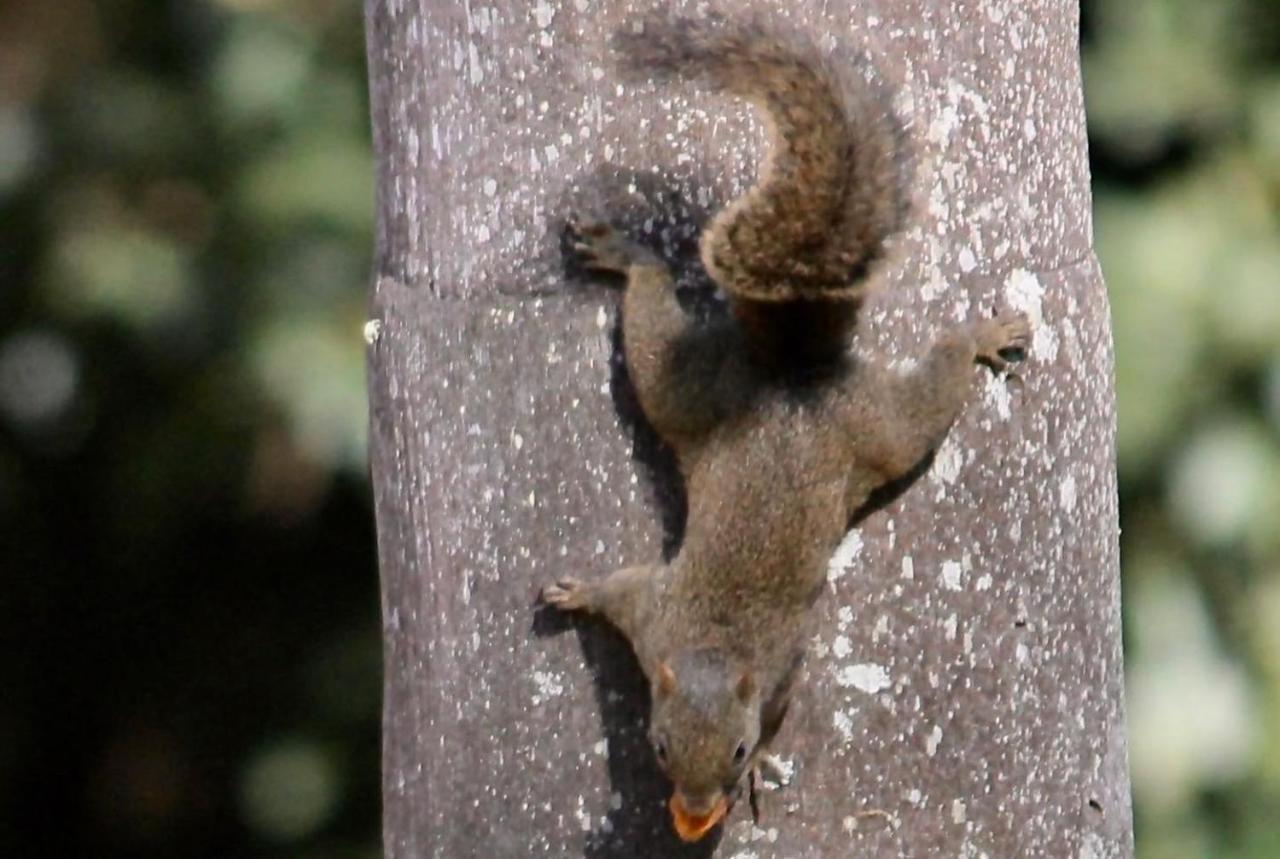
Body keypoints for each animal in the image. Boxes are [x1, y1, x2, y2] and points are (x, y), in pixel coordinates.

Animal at [540, 11, 1029, 844]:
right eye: (658, 745)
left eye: (736, 748)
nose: (694, 813)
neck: (711, 642)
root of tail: (793, 377)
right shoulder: (651, 612)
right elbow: (618, 586)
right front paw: (575, 592)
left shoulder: (775, 663)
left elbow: (782, 701)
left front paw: (766, 764)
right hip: (691, 392)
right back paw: (626, 253)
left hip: (869, 425)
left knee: (935, 385)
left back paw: (979, 336)